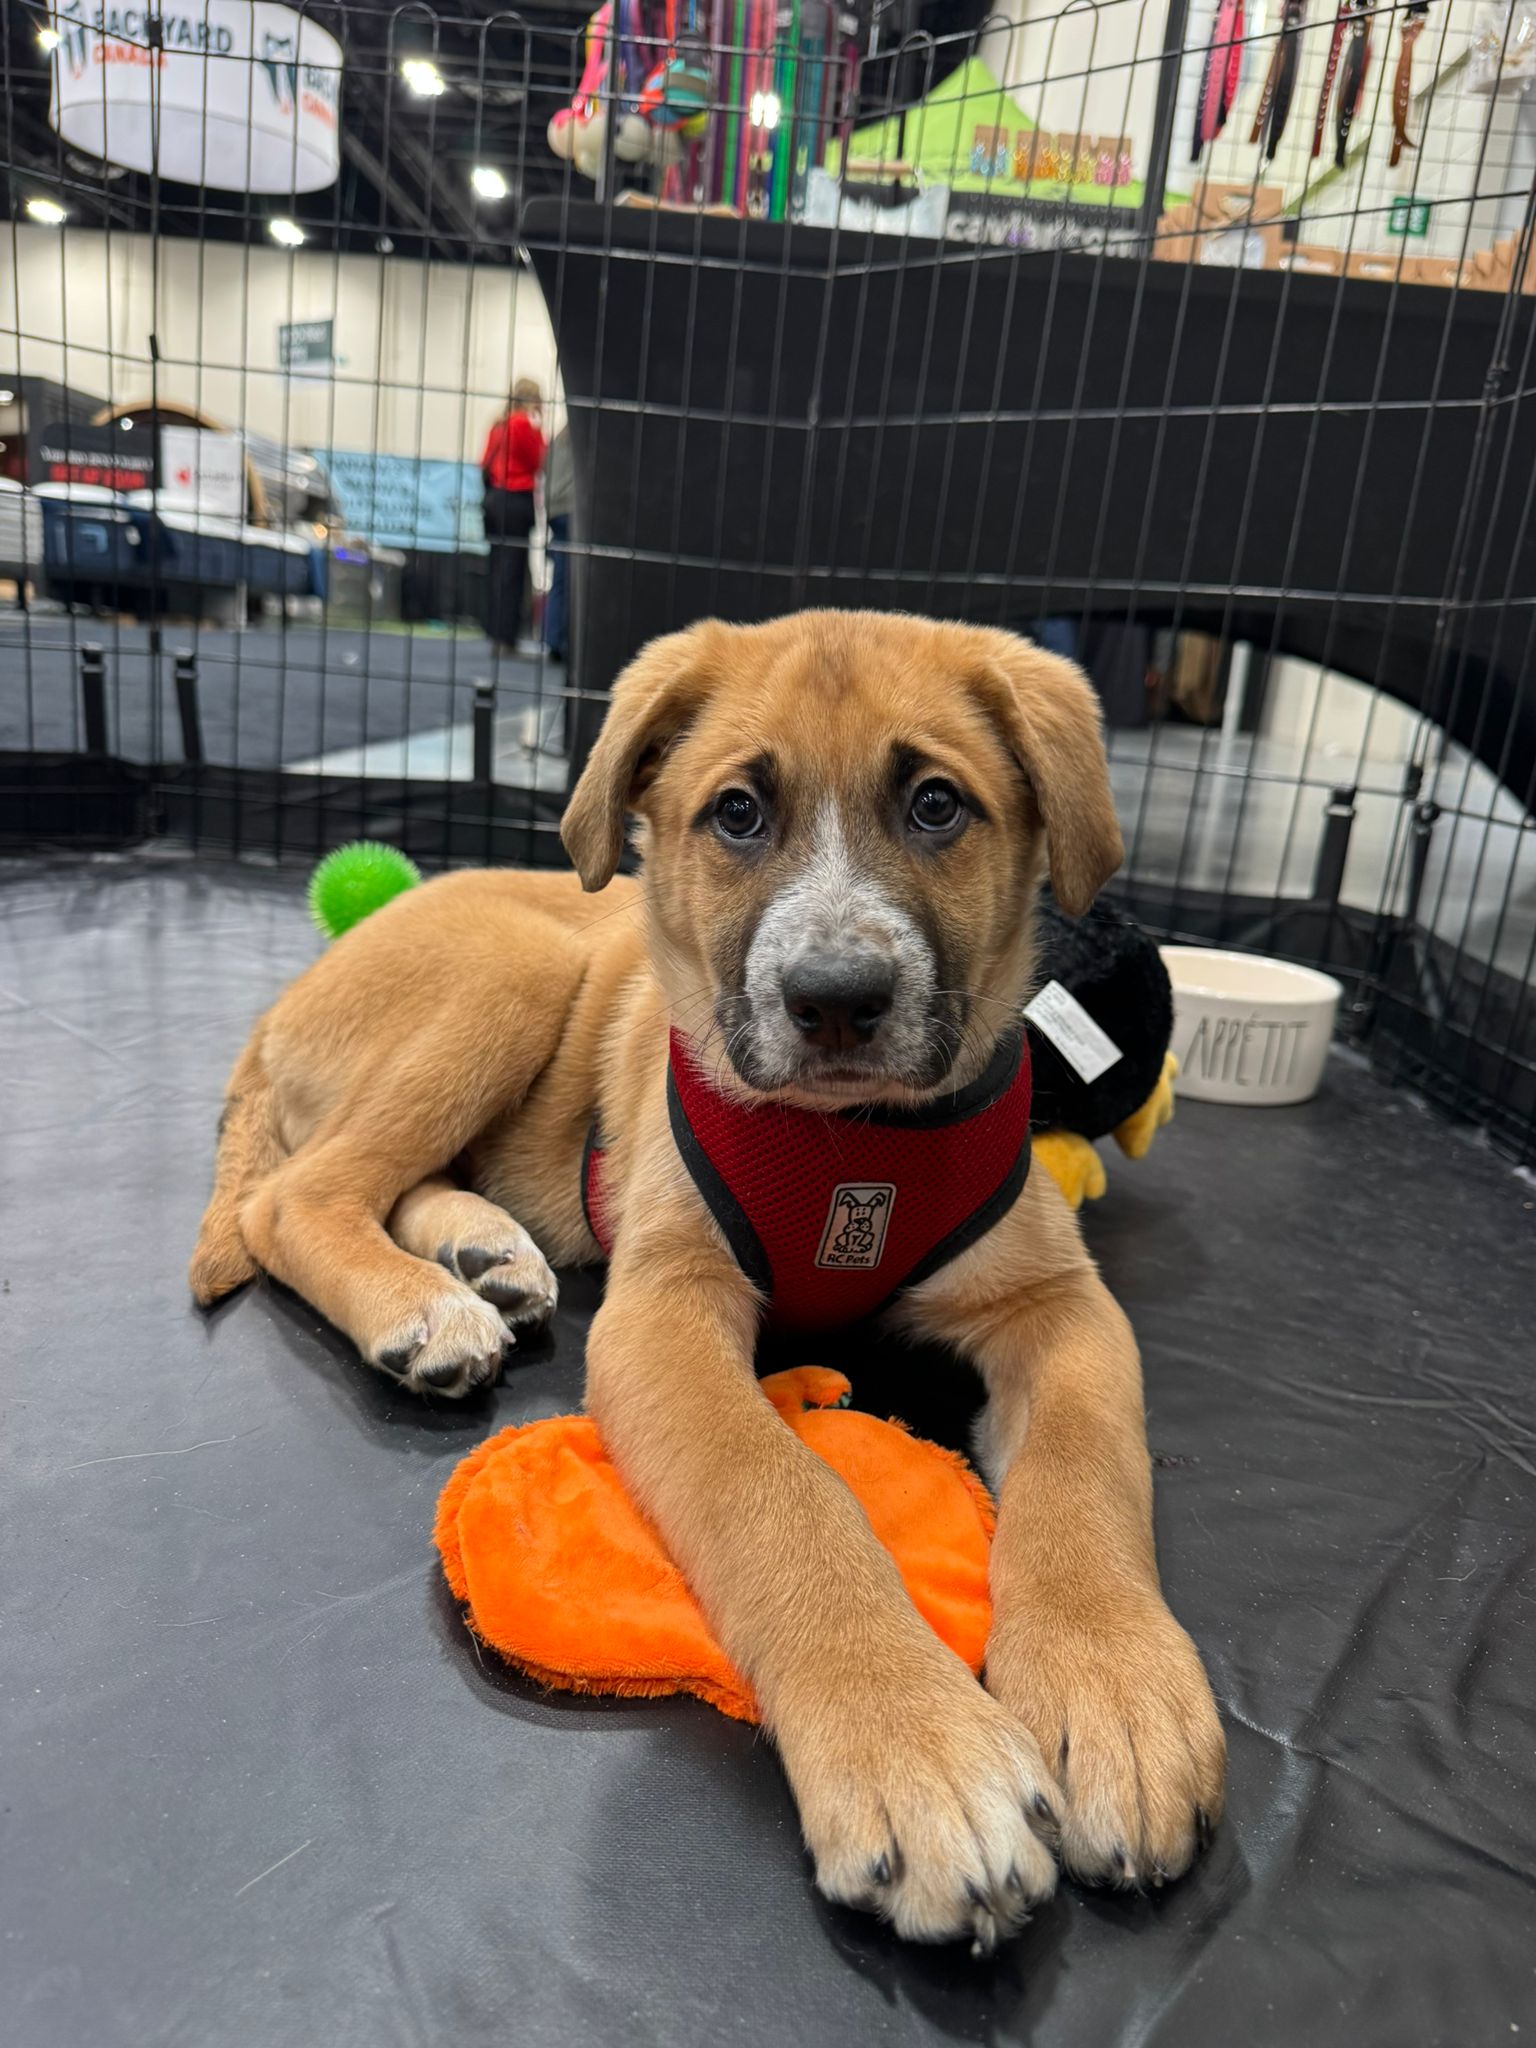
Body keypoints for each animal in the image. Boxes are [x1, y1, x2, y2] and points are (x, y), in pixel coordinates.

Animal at [190, 611, 1225, 1951]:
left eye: (937, 804)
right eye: (737, 812)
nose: (835, 999)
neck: (850, 1147)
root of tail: (281, 1005)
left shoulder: (1059, 1306)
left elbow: (1084, 1472)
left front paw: (1113, 1690)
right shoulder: (665, 1314)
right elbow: (781, 1495)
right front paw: (916, 1745)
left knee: (389, 1177)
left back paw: (484, 1251)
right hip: (517, 966)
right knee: (295, 1195)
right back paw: (421, 1306)